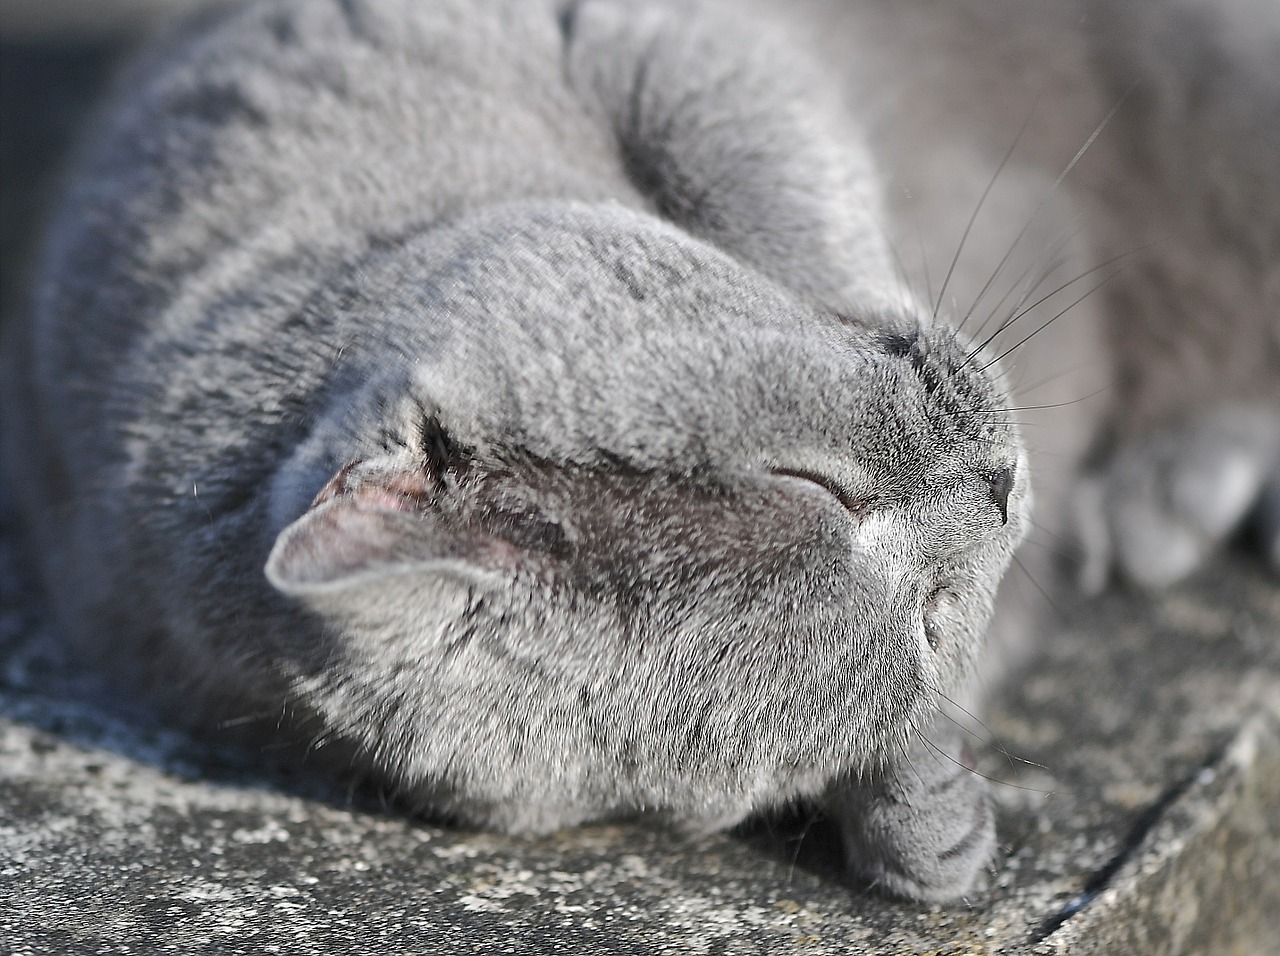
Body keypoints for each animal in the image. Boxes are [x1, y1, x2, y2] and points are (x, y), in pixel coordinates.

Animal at [0, 0, 1274, 906]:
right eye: (928, 612)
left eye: (805, 478)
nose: (1005, 486)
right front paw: (920, 809)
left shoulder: (619, 35)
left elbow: (762, 158)